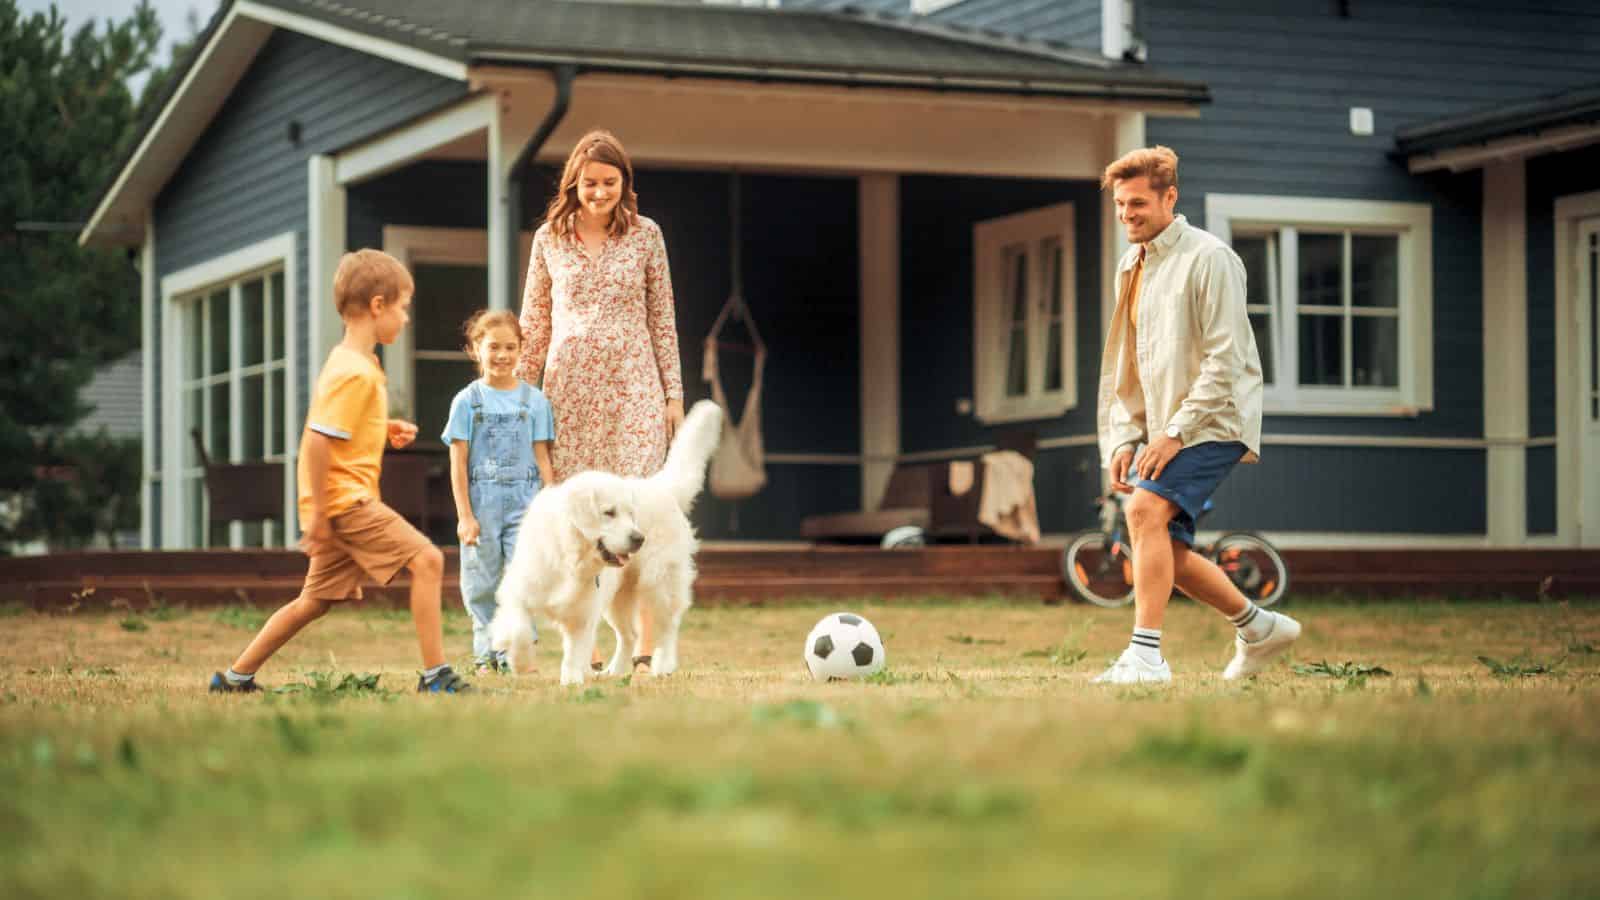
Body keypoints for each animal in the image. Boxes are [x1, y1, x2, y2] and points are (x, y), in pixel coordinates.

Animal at [486, 395, 726, 682]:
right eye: (609, 513)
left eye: (631, 514)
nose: (639, 538)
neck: (570, 559)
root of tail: (661, 486)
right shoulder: (516, 593)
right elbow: (520, 630)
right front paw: (520, 661)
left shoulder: (583, 613)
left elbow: (574, 653)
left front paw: (571, 680)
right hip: (618, 598)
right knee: (630, 635)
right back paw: (615, 670)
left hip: (659, 583)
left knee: (667, 626)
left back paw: (663, 665)